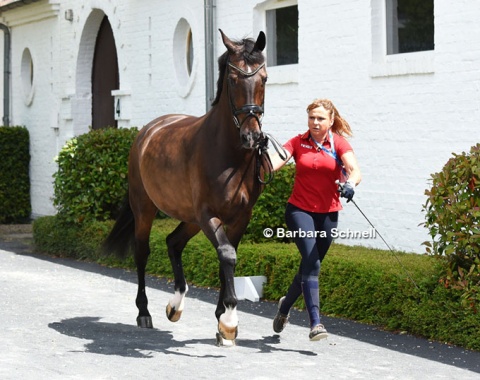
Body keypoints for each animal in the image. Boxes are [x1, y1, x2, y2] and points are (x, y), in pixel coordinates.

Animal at [104, 29, 268, 344]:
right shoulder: (208, 214)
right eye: (233, 79)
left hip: (190, 218)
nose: (252, 137)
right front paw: (229, 320)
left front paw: (221, 320)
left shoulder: (240, 217)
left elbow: (227, 259)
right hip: (146, 209)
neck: (228, 153)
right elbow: (227, 254)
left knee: (173, 242)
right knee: (143, 252)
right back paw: (144, 312)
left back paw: (175, 305)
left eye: (264, 78)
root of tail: (148, 131)